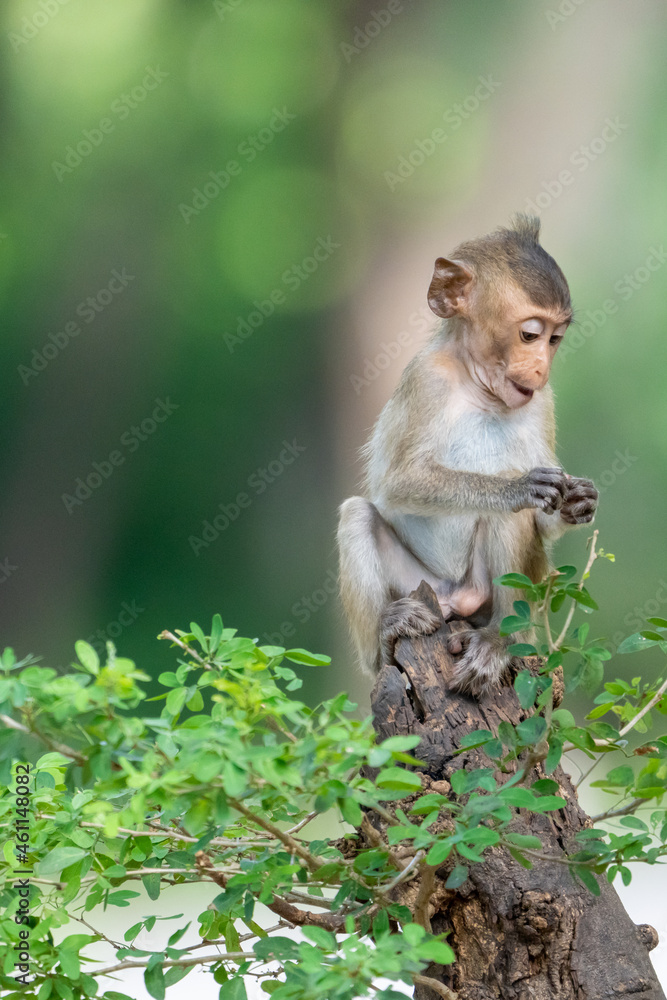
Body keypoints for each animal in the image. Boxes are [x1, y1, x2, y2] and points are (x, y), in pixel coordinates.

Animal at [340, 213, 600, 696]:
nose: (542, 367)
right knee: (357, 514)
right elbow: (397, 484)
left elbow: (542, 517)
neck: (480, 389)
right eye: (530, 334)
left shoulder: (544, 402)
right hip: (418, 584)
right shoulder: (427, 379)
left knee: (512, 528)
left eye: (555, 339)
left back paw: (500, 640)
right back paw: (385, 636)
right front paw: (515, 486)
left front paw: (578, 503)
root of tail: (453, 597)